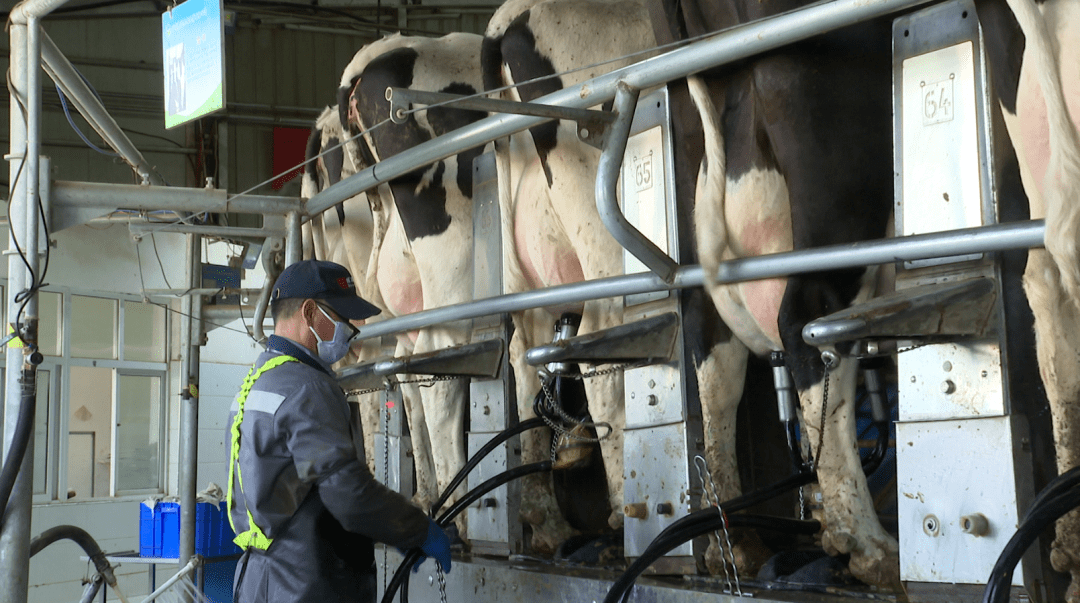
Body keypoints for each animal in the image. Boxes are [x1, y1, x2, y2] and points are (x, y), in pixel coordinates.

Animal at [486, 0, 773, 570]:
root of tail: (505, 20)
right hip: (607, 245)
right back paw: (637, 519)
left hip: (528, 275)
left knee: (526, 357)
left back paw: (548, 523)